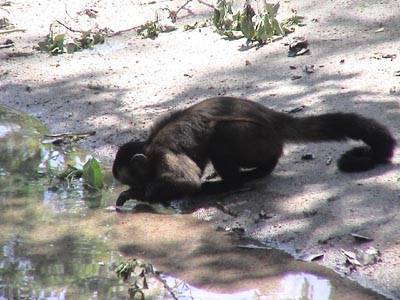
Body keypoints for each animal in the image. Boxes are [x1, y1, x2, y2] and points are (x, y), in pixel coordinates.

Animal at [112, 96, 396, 206]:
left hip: (258, 139)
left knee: (221, 134)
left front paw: (139, 195)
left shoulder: (163, 154)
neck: (150, 148)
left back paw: (236, 180)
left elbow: (187, 181)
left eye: (129, 179)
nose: (134, 186)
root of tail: (273, 118)